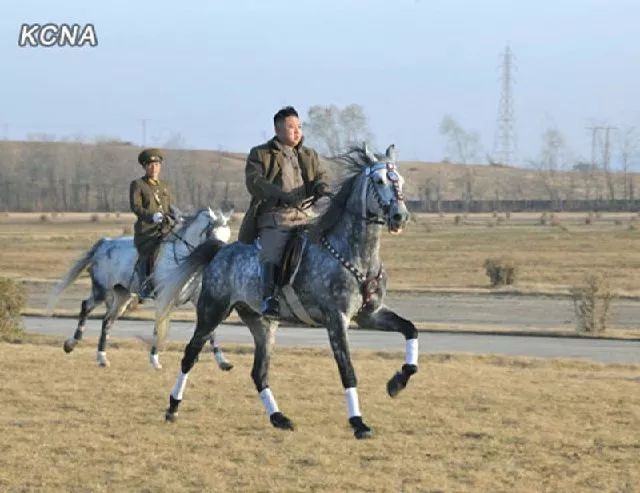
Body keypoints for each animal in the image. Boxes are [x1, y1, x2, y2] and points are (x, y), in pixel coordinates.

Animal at [47, 207, 234, 370]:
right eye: (210, 233)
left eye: (228, 235)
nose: (221, 259)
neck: (184, 260)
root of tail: (105, 243)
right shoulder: (163, 298)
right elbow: (158, 327)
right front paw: (154, 360)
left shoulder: (196, 300)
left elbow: (210, 332)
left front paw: (223, 362)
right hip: (102, 290)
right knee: (86, 306)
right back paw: (71, 343)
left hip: (122, 295)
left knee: (107, 320)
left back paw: (102, 357)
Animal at [154, 144, 419, 439]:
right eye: (379, 181)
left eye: (400, 181)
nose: (400, 216)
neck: (354, 255)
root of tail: (221, 250)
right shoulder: (336, 320)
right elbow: (347, 370)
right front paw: (358, 423)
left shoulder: (370, 315)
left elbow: (410, 329)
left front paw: (397, 382)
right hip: (212, 312)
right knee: (190, 356)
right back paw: (172, 407)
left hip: (263, 325)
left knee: (259, 373)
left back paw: (279, 418)